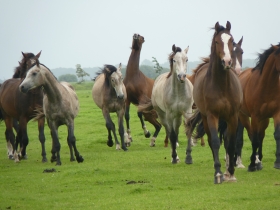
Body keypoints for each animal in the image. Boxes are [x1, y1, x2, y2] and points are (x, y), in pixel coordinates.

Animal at [185, 20, 242, 183]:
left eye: (232, 40)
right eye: (217, 41)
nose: (227, 61)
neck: (222, 85)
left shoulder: (233, 116)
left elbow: (230, 143)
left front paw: (231, 173)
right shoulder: (212, 115)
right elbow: (216, 142)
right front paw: (218, 174)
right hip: (205, 117)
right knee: (211, 140)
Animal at [236, 43, 280, 171]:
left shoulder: (276, 114)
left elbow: (277, 135)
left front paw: (277, 162)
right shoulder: (255, 117)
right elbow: (254, 139)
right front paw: (251, 164)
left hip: (264, 119)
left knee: (261, 136)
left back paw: (259, 160)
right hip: (244, 116)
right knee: (252, 135)